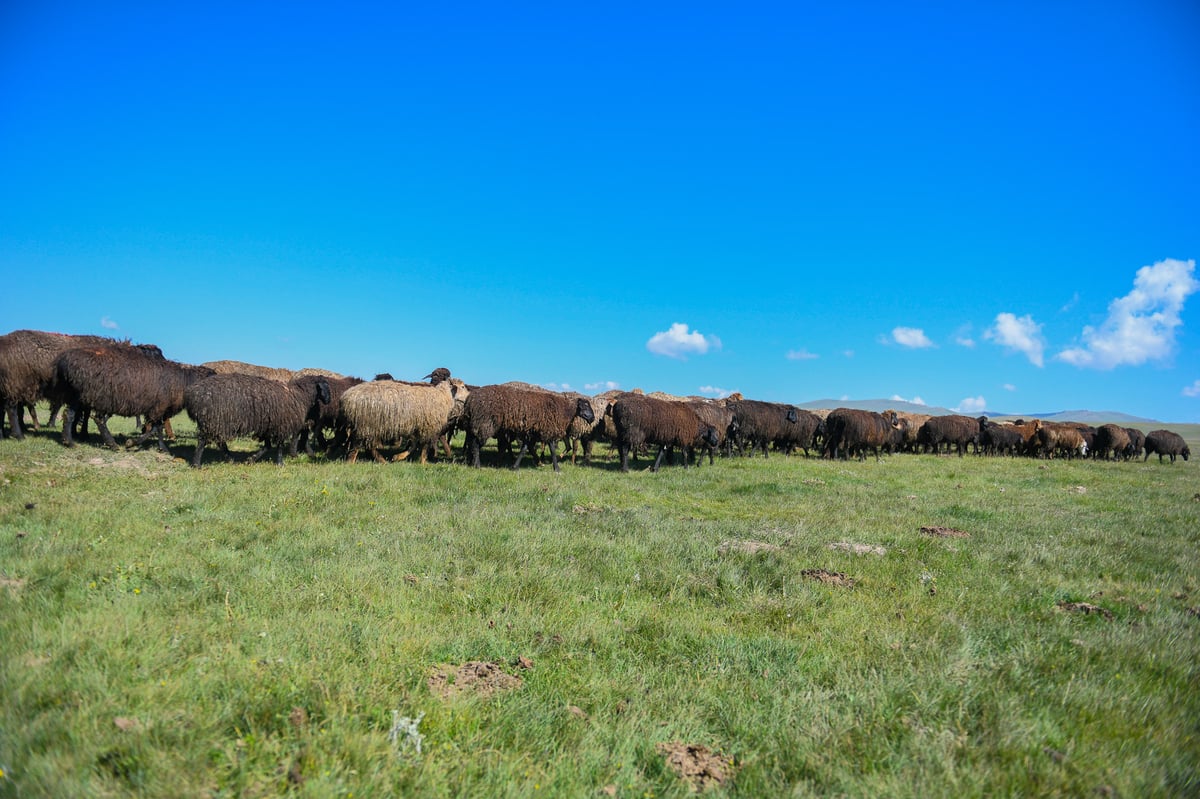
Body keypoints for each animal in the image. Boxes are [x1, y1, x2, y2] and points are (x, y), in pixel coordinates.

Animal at [52, 340, 214, 451]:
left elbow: (157, 428)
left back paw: (69, 442)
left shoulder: (157, 408)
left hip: (78, 394)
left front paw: (162, 448)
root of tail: (63, 360)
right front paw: (133, 443)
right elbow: (155, 428)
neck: (183, 381)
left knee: (70, 414)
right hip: (99, 395)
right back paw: (111, 444)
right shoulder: (158, 407)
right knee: (98, 419)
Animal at [182, 374, 333, 467]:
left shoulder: (267, 426)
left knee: (219, 442)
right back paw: (197, 464)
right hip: (213, 420)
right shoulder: (281, 425)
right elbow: (278, 446)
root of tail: (191, 395)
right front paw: (280, 463)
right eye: (325, 387)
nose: (328, 401)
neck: (299, 395)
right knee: (203, 441)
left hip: (216, 422)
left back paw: (231, 459)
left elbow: (268, 446)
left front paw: (251, 459)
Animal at [340, 376, 470, 463]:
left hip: (370, 426)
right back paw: (351, 462)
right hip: (366, 424)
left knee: (369, 445)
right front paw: (423, 462)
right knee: (358, 445)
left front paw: (398, 457)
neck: (444, 397)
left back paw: (382, 461)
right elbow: (424, 446)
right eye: (463, 386)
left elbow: (413, 445)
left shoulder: (418, 427)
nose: (469, 396)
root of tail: (346, 397)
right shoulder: (428, 427)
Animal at [460, 383, 592, 470]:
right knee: (476, 444)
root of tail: (470, 399)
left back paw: (470, 462)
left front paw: (515, 466)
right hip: (484, 424)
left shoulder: (534, 431)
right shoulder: (548, 429)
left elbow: (524, 449)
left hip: (473, 424)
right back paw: (477, 465)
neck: (564, 409)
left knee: (471, 442)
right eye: (585, 406)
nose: (592, 418)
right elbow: (552, 450)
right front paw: (557, 468)